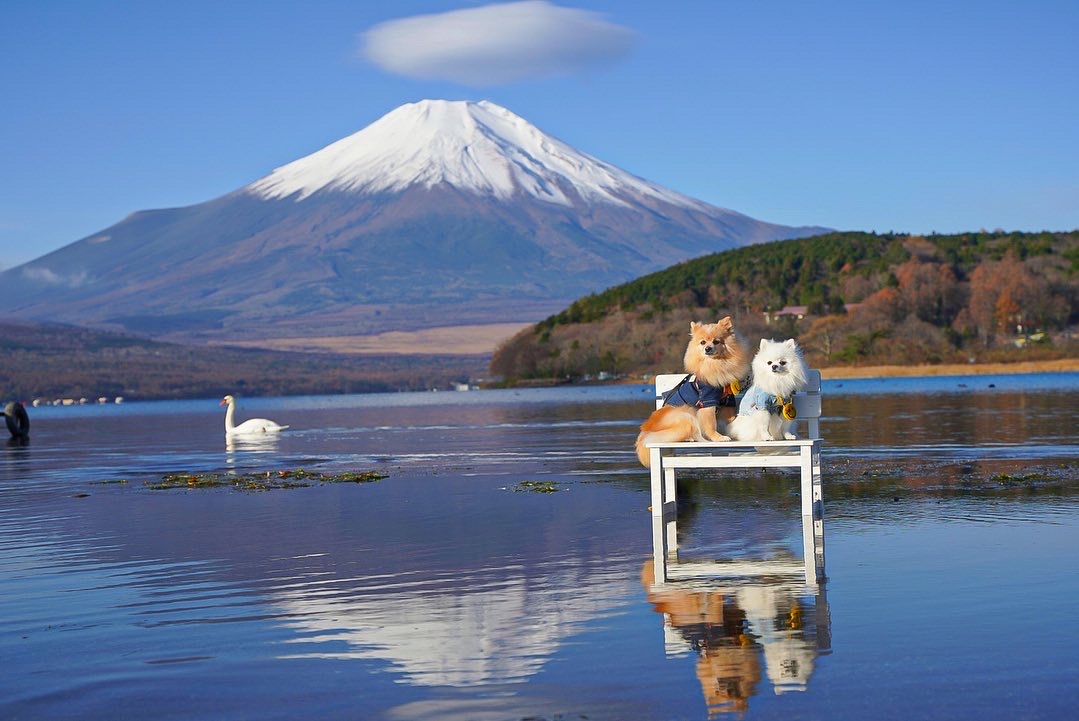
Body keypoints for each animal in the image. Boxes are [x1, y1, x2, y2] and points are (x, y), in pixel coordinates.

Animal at [630, 317, 750, 468]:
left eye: (716, 341)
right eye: (703, 342)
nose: (707, 348)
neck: (716, 365)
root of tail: (646, 431)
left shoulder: (728, 400)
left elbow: (731, 417)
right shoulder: (707, 401)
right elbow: (710, 423)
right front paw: (718, 437)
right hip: (686, 415)